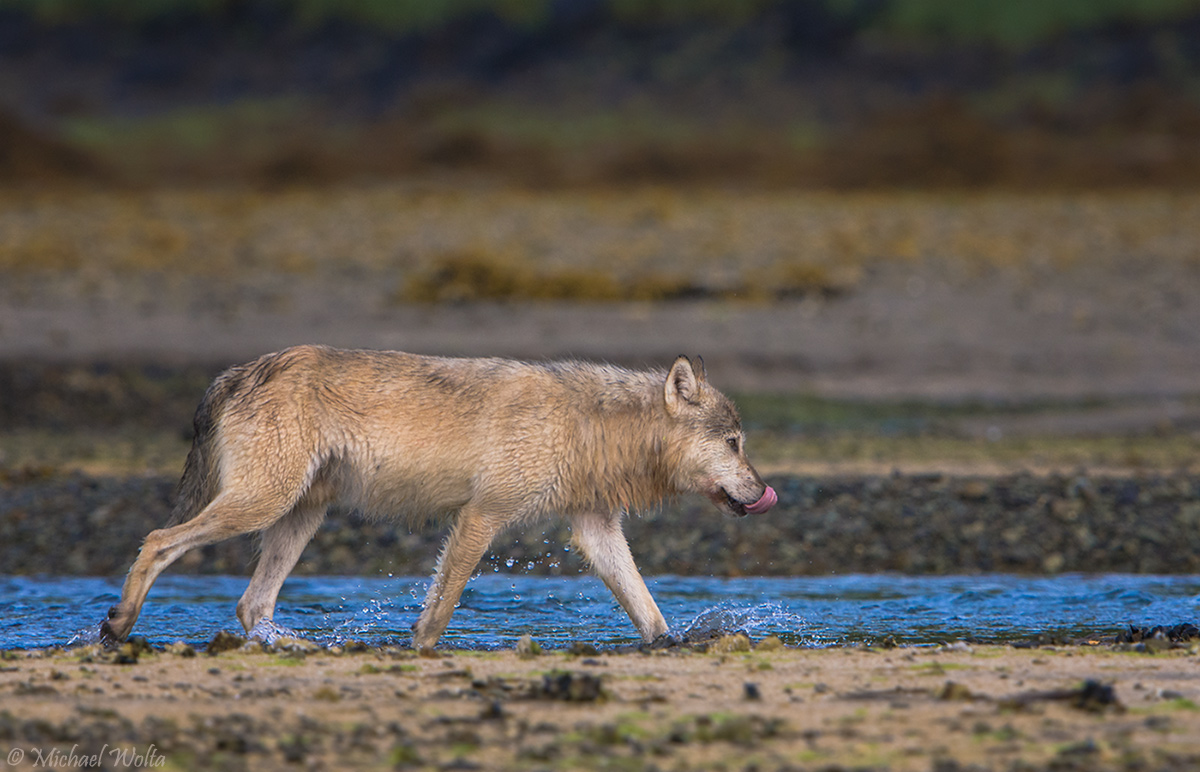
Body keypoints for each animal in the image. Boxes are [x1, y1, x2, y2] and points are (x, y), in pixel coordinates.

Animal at [103, 348, 777, 648]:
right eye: (736, 443)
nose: (764, 490)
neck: (590, 424)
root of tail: (231, 373)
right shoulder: (482, 516)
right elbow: (442, 606)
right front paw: (420, 649)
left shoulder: (595, 529)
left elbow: (649, 609)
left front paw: (671, 645)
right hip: (262, 505)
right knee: (157, 541)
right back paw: (117, 626)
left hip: (299, 517)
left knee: (251, 606)